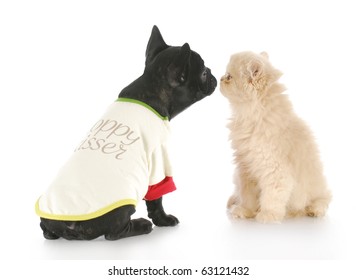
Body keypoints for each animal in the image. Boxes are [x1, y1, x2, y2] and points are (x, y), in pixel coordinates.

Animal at [36, 25, 217, 241]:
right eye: (204, 73)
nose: (213, 74)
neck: (151, 89)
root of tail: (67, 224)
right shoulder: (158, 163)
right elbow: (156, 199)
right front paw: (164, 220)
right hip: (125, 203)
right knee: (113, 233)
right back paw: (141, 225)